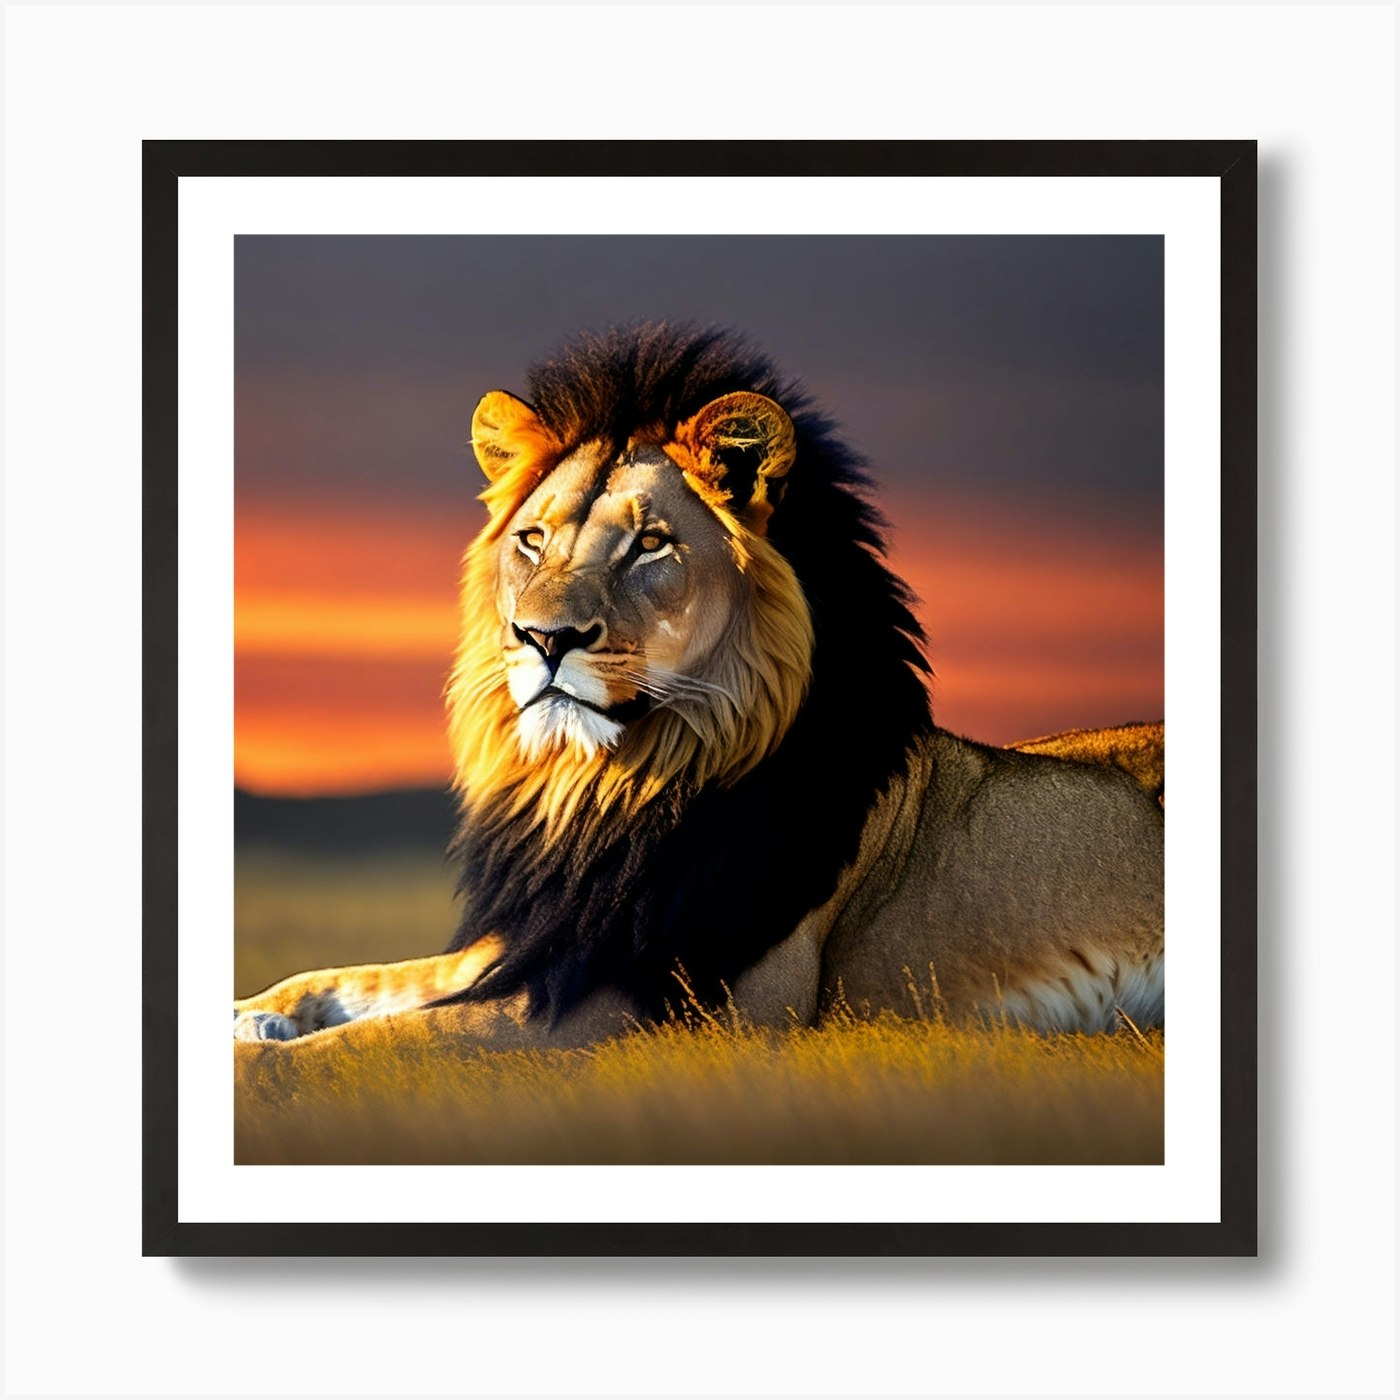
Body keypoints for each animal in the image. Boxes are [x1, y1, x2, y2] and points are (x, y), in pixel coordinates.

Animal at [234, 324, 1163, 1048]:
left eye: (650, 544)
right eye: (533, 539)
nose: (544, 639)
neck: (606, 790)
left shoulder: (639, 1005)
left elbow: (356, 1048)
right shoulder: (537, 944)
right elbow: (351, 984)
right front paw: (253, 1013)